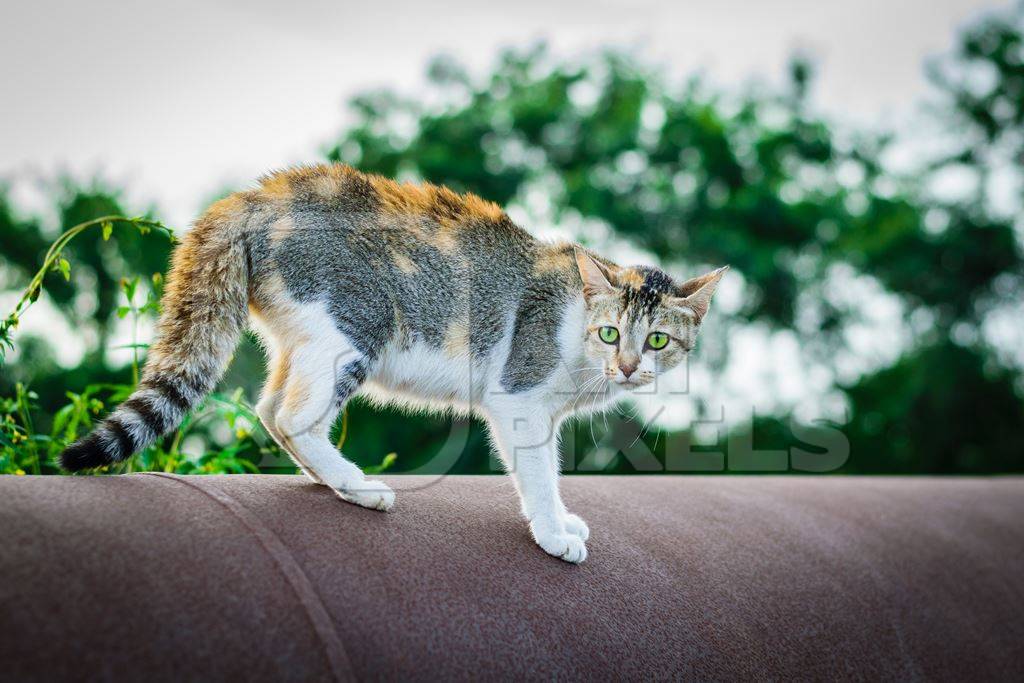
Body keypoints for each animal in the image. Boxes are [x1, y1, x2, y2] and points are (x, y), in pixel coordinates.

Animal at [59, 162, 724, 565]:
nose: (629, 367)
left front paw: (560, 520)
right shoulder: (520, 397)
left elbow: (547, 470)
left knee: (271, 409)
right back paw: (358, 486)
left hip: (307, 341)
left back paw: (331, 481)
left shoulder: (543, 411)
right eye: (610, 334)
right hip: (354, 328)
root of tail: (251, 198)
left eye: (657, 342)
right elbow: (539, 472)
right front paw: (553, 534)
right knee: (293, 417)